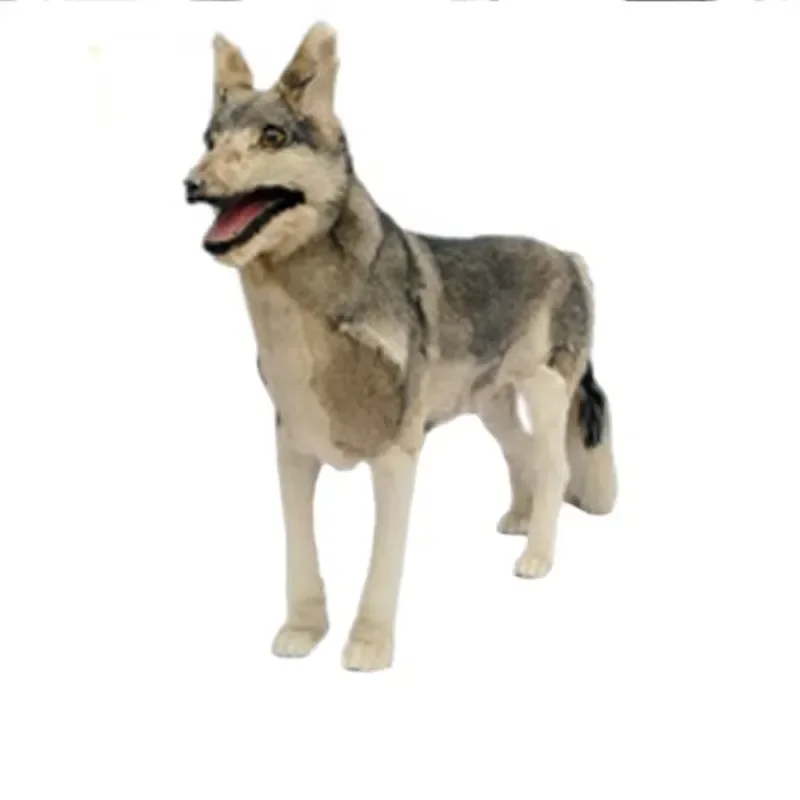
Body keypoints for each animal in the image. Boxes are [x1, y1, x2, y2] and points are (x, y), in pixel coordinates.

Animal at [184, 23, 617, 671]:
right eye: (210, 140)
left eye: (272, 136)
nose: (191, 183)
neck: (303, 317)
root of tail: (571, 256)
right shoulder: (292, 450)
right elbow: (299, 557)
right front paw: (302, 632)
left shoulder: (396, 457)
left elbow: (380, 568)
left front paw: (368, 646)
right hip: (489, 405)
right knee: (523, 457)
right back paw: (518, 520)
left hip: (543, 393)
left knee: (554, 464)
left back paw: (537, 556)